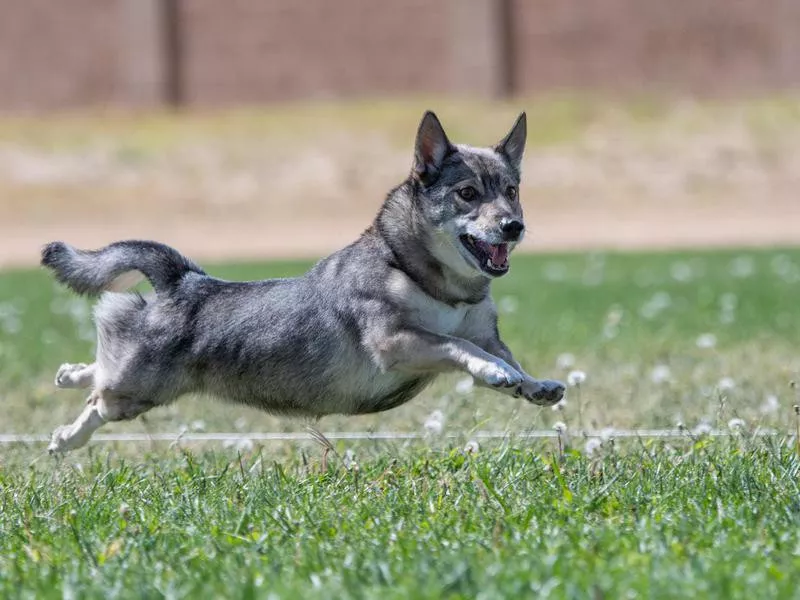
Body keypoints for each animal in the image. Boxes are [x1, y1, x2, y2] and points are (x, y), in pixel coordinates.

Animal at [40, 110, 564, 452]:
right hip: (137, 390)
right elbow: (462, 348)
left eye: (512, 191)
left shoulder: (484, 334)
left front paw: (531, 384)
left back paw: (68, 374)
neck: (428, 279)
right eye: (468, 194)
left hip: (137, 381)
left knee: (99, 370)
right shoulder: (397, 342)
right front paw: (495, 373)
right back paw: (65, 438)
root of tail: (184, 281)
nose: (513, 226)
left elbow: (504, 356)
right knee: (99, 398)